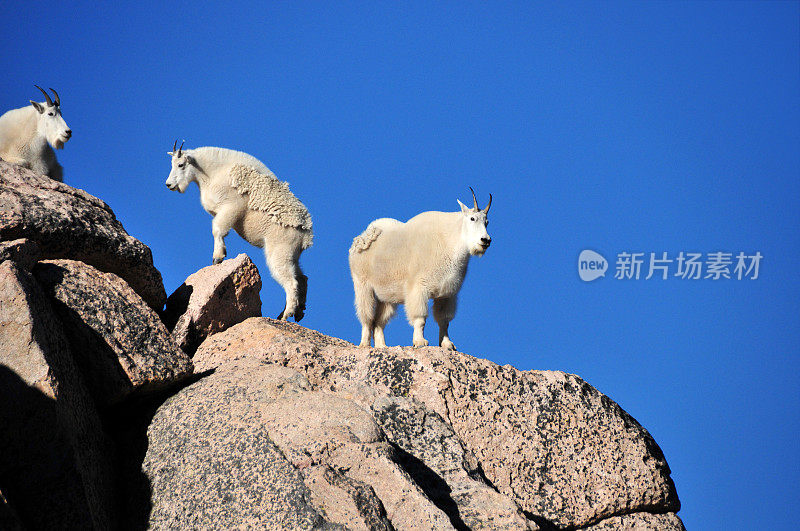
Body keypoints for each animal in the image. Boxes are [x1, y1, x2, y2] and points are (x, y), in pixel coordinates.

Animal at [352, 189, 494, 352]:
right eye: (472, 218)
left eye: (487, 222)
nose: (485, 240)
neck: (451, 240)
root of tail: (363, 237)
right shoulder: (419, 287)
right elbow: (420, 318)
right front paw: (420, 341)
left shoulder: (447, 294)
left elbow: (444, 320)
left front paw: (447, 344)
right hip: (362, 285)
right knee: (366, 316)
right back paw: (364, 344)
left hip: (386, 296)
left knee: (379, 321)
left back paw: (382, 346)